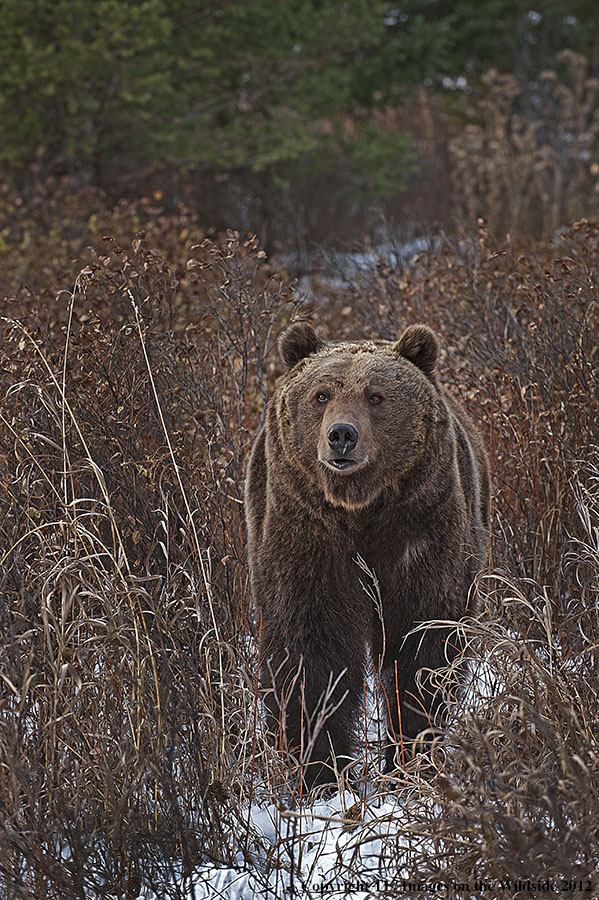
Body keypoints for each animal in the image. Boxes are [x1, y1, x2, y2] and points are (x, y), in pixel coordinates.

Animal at [246, 324, 490, 788]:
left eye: (376, 396)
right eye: (321, 394)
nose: (342, 434)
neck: (359, 508)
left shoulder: (419, 529)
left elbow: (421, 642)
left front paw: (412, 755)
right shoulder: (306, 534)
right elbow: (311, 647)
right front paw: (318, 767)